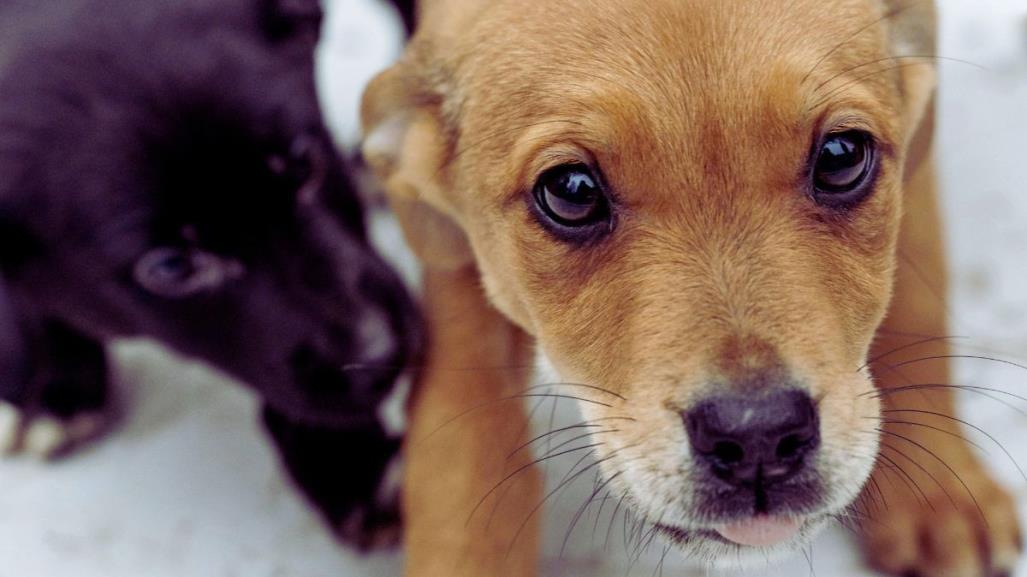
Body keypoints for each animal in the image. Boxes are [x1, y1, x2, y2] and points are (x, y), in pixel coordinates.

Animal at [361, 1, 1018, 574]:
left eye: (841, 155)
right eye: (571, 190)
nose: (758, 438)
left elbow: (917, 290)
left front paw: (938, 493)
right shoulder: (459, 261)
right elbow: (465, 435)